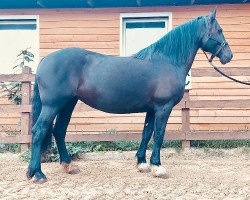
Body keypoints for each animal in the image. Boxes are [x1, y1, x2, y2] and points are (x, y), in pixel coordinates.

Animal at [27, 8, 232, 182]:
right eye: (219, 30)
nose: (228, 56)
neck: (167, 61)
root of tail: (45, 60)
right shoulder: (163, 108)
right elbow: (159, 135)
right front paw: (158, 166)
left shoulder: (152, 109)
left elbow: (146, 133)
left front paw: (142, 163)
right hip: (53, 105)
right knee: (39, 131)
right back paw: (37, 173)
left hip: (68, 103)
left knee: (59, 131)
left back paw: (68, 166)